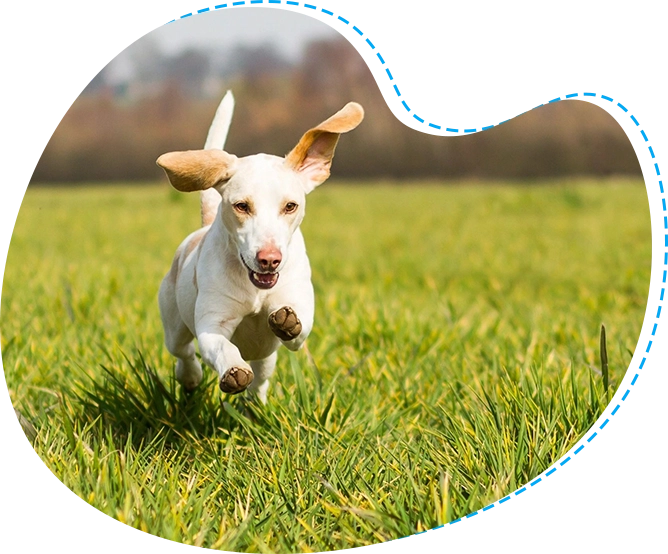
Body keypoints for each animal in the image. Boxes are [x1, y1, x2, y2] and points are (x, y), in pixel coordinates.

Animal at [157, 90, 366, 402]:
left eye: (290, 206)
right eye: (241, 206)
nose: (269, 259)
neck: (255, 289)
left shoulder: (298, 311)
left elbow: (298, 329)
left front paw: (288, 322)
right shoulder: (212, 324)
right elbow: (221, 346)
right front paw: (234, 371)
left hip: (266, 357)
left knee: (261, 379)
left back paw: (255, 402)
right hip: (174, 324)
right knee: (184, 353)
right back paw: (192, 378)